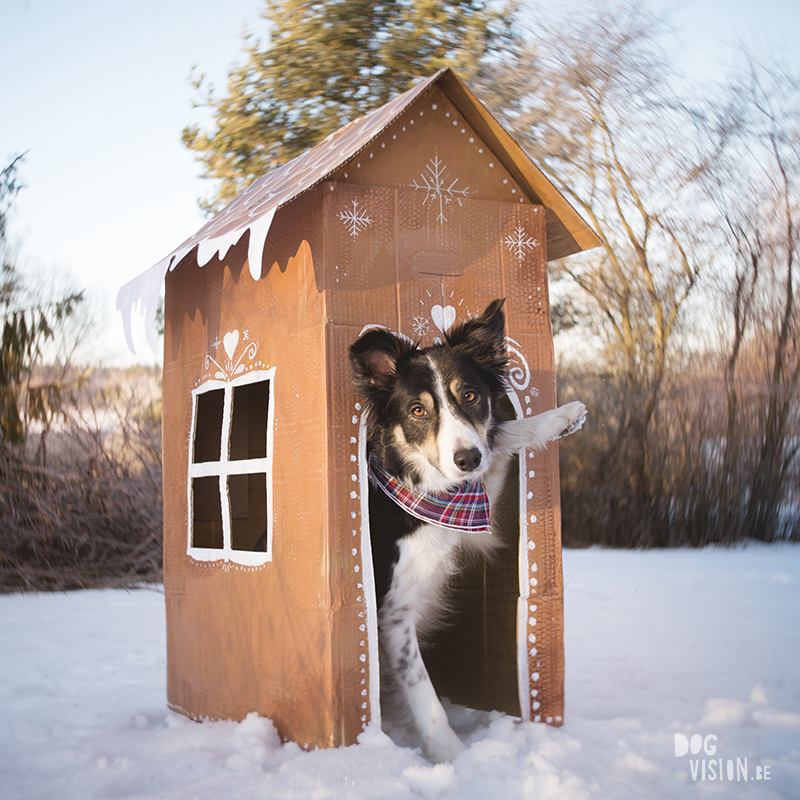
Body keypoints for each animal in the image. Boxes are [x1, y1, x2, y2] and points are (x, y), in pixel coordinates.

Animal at [350, 296, 588, 760]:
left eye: (471, 395)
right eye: (417, 410)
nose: (466, 459)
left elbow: (501, 438)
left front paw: (560, 418)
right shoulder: (392, 615)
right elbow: (422, 692)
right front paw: (452, 756)